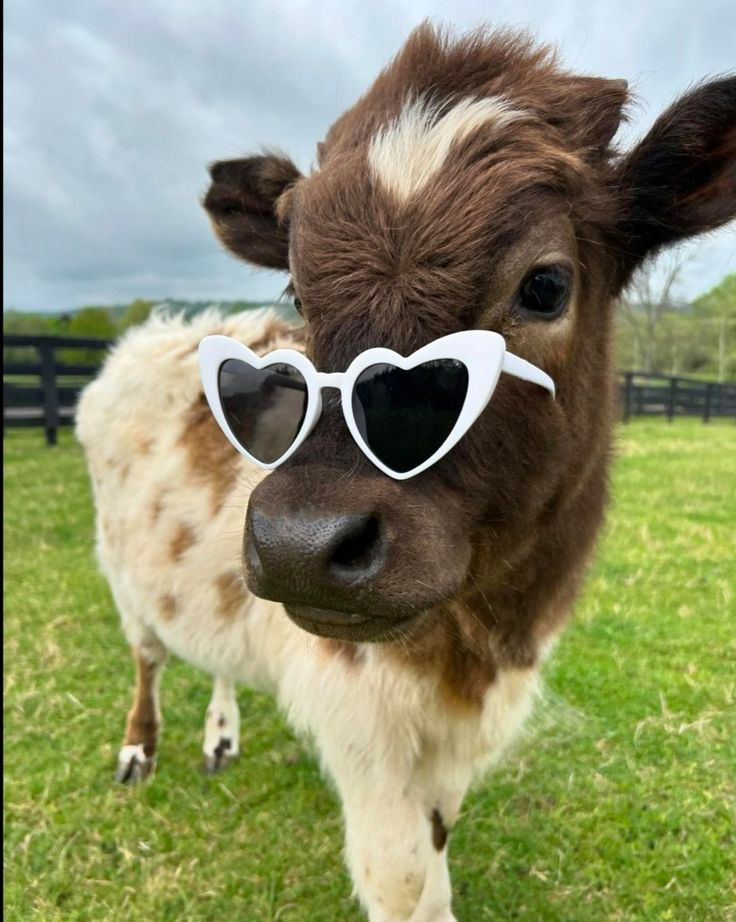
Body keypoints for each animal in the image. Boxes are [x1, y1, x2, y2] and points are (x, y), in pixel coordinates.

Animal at [76, 22, 736, 922]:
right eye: (298, 292)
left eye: (546, 285)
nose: (299, 543)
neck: (484, 637)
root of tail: (161, 330)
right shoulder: (363, 725)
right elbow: (406, 880)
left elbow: (438, 845)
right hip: (123, 567)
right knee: (147, 655)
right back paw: (140, 750)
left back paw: (221, 734)